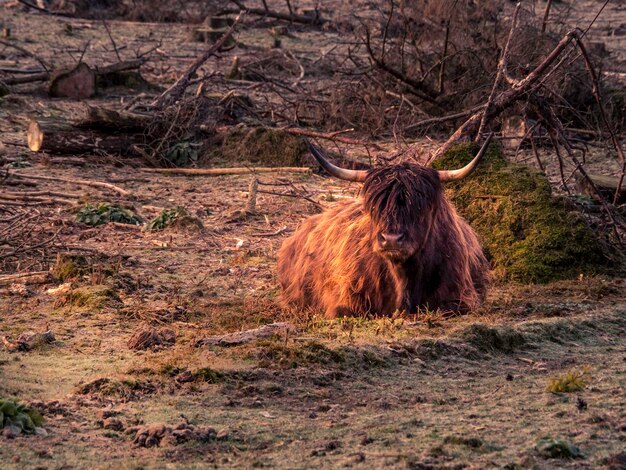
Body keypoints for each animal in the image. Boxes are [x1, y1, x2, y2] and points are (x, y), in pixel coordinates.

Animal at [278, 134, 492, 318]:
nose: (391, 239)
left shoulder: (461, 298)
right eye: (375, 205)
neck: (402, 277)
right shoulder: (344, 301)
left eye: (421, 206)